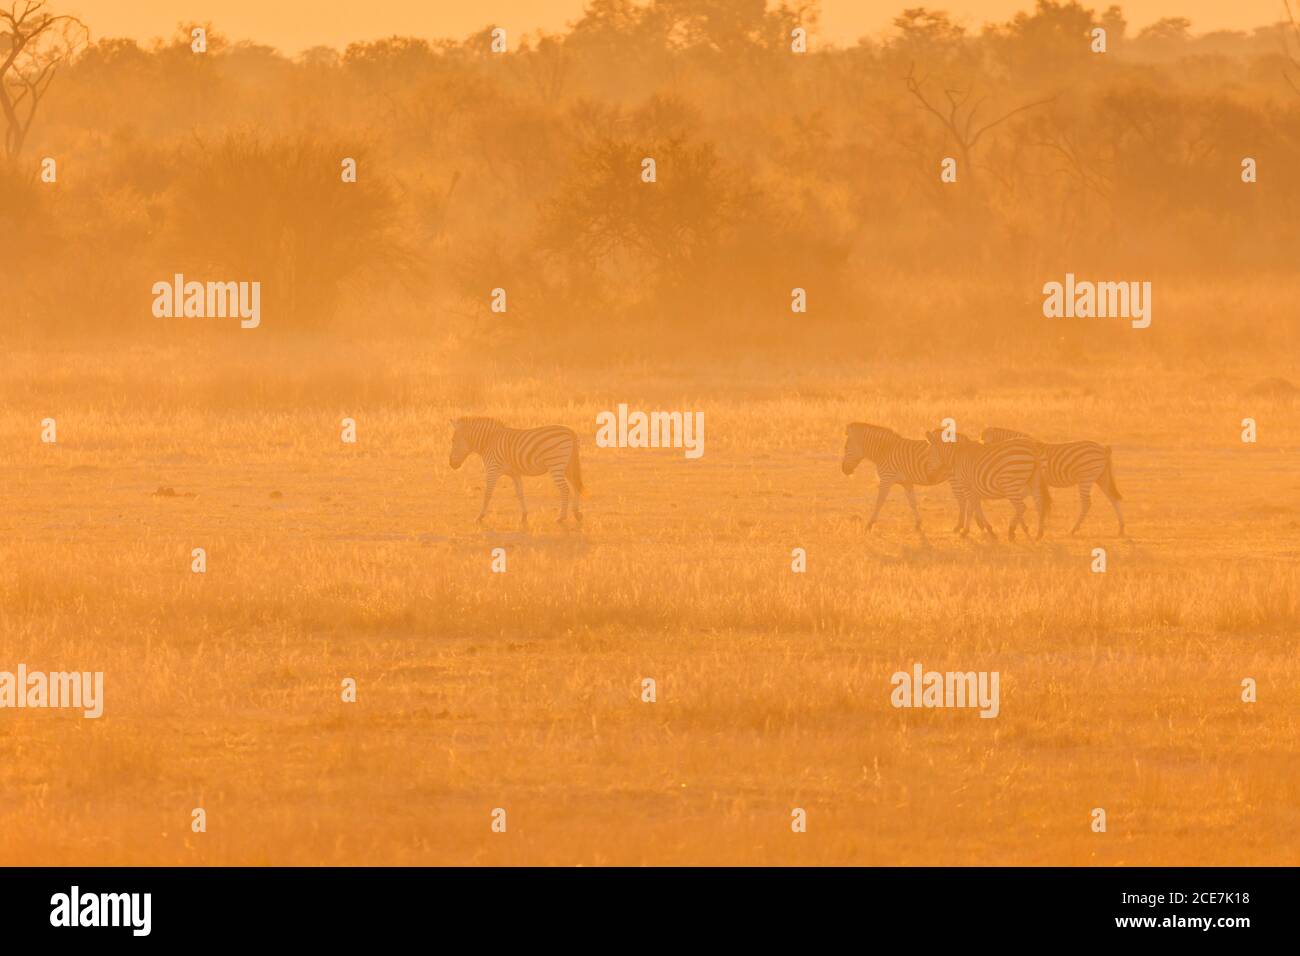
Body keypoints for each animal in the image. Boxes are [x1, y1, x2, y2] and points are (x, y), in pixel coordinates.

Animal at [452, 418, 585, 522]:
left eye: (453, 441)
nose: (451, 464)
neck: (489, 441)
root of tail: (570, 431)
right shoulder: (515, 473)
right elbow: (520, 493)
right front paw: (524, 516)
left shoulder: (492, 470)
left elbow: (487, 493)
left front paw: (480, 517)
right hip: (568, 466)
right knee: (575, 486)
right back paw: (576, 514)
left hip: (556, 464)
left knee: (565, 489)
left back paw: (561, 517)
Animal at [842, 424, 982, 535]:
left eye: (846, 448)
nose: (844, 470)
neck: (884, 451)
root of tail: (966, 440)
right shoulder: (907, 483)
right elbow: (912, 502)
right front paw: (918, 524)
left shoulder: (886, 479)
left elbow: (879, 502)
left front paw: (869, 524)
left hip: (955, 478)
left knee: (963, 500)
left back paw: (960, 527)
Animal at [977, 429, 1123, 535]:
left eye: (985, 445)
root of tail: (1103, 448)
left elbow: (1028, 503)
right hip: (1101, 477)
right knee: (1113, 498)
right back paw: (1121, 528)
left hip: (1086, 478)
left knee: (1087, 503)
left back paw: (1073, 529)